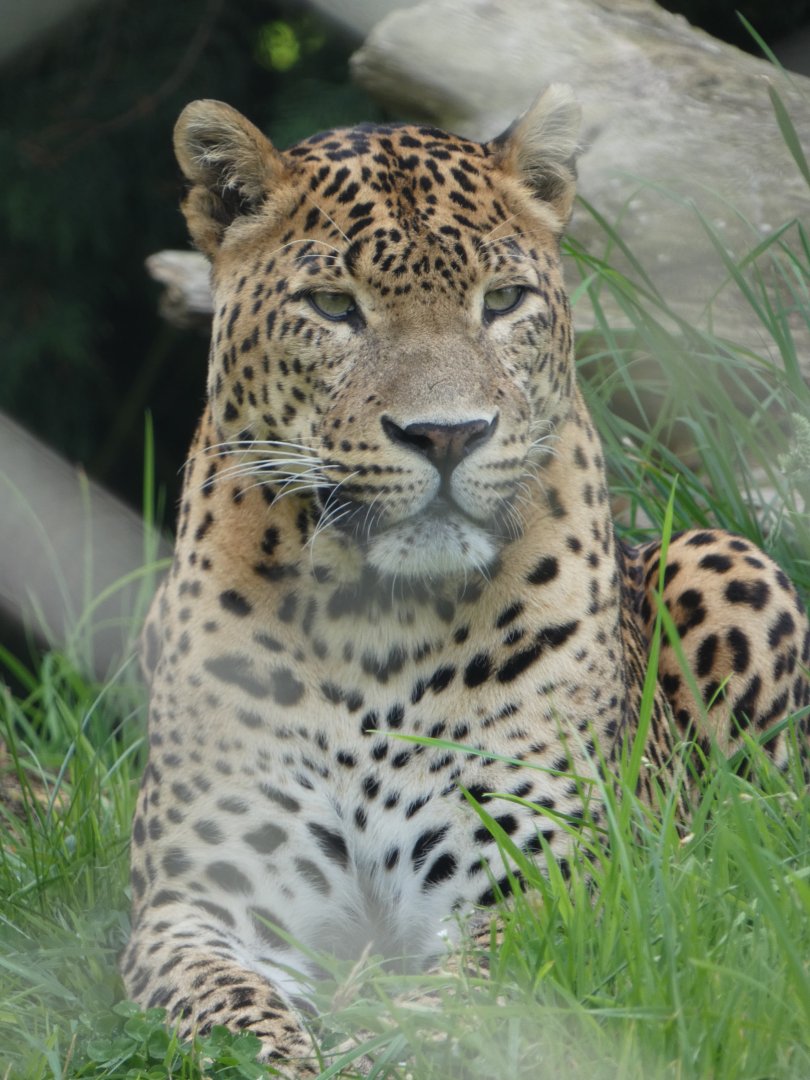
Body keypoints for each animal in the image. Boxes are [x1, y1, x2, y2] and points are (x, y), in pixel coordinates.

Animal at [121, 85, 810, 1074]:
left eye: (504, 300)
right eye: (334, 306)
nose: (446, 434)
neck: (368, 620)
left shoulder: (544, 884)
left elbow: (446, 1007)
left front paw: (380, 1040)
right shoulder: (198, 907)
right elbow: (232, 1014)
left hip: (730, 563)